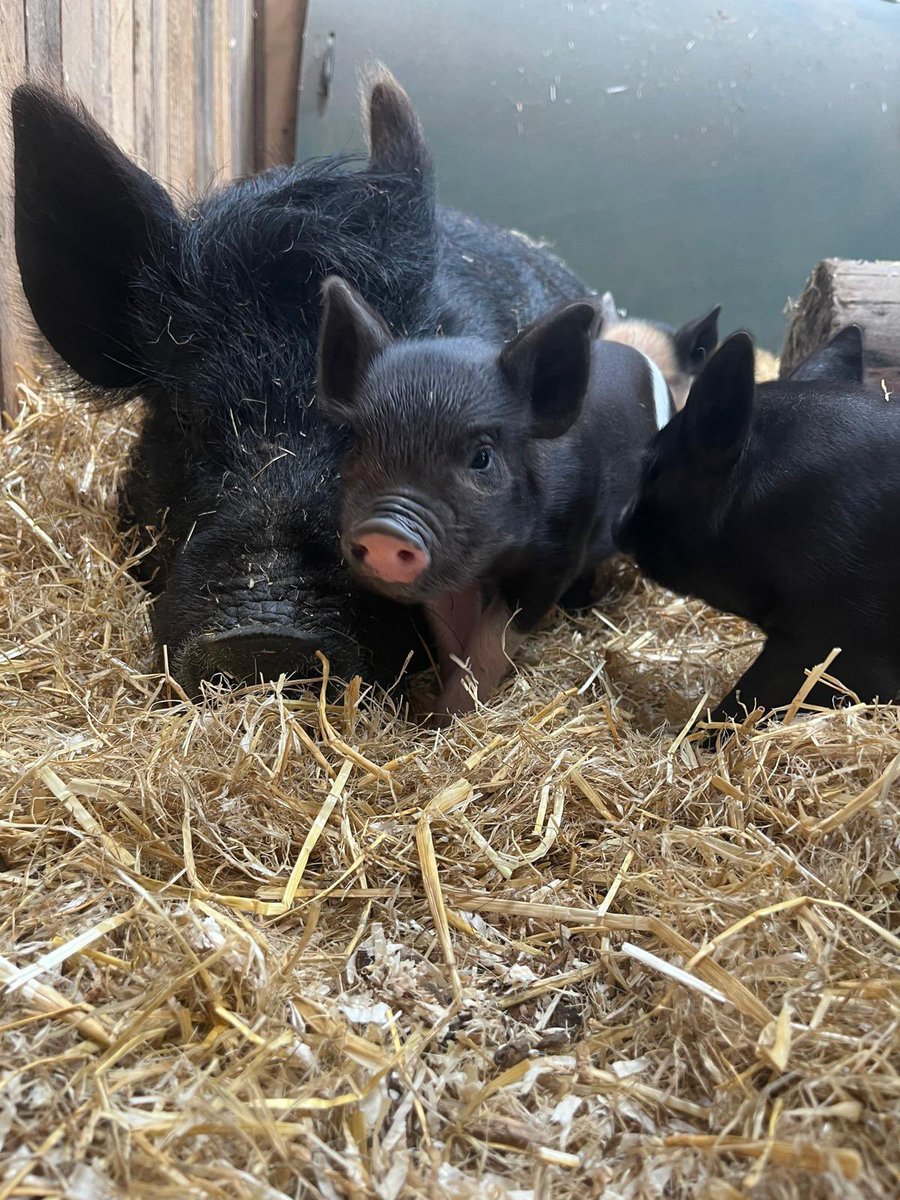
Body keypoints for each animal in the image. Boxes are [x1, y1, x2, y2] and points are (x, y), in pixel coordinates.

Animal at [315, 277, 674, 719]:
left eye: (482, 456)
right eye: (359, 444)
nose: (386, 528)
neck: (493, 562)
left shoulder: (556, 555)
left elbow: (493, 640)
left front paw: (455, 713)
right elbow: (454, 631)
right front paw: (437, 718)